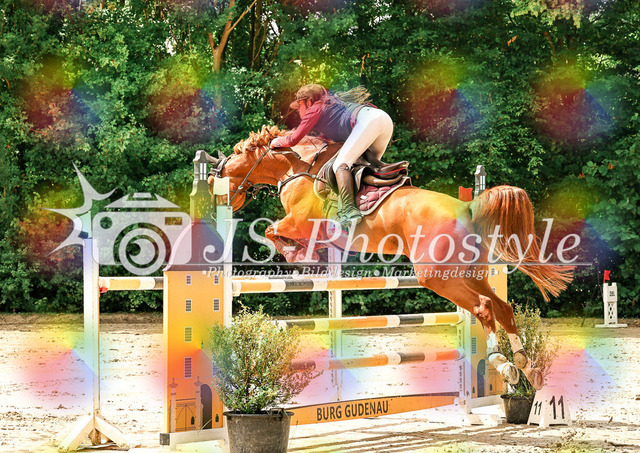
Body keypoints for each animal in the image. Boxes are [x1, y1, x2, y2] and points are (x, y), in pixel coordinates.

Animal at [206, 125, 573, 390]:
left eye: (235, 155)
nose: (213, 183)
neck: (298, 167)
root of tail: (469, 207)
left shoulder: (298, 221)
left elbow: (273, 232)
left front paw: (296, 254)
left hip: (437, 277)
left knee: (484, 308)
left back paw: (504, 364)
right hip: (470, 274)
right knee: (502, 307)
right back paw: (524, 363)